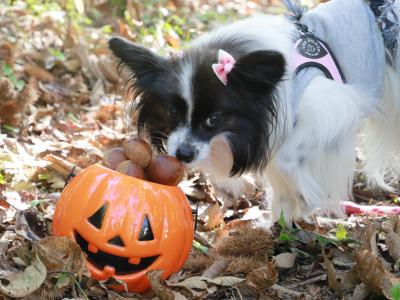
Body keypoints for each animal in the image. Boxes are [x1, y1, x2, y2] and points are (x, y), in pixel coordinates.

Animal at [109, 0, 400, 224]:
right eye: (172, 113)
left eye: (213, 120)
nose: (183, 154)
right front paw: (278, 224)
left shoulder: (340, 105)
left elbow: (287, 159)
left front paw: (307, 199)